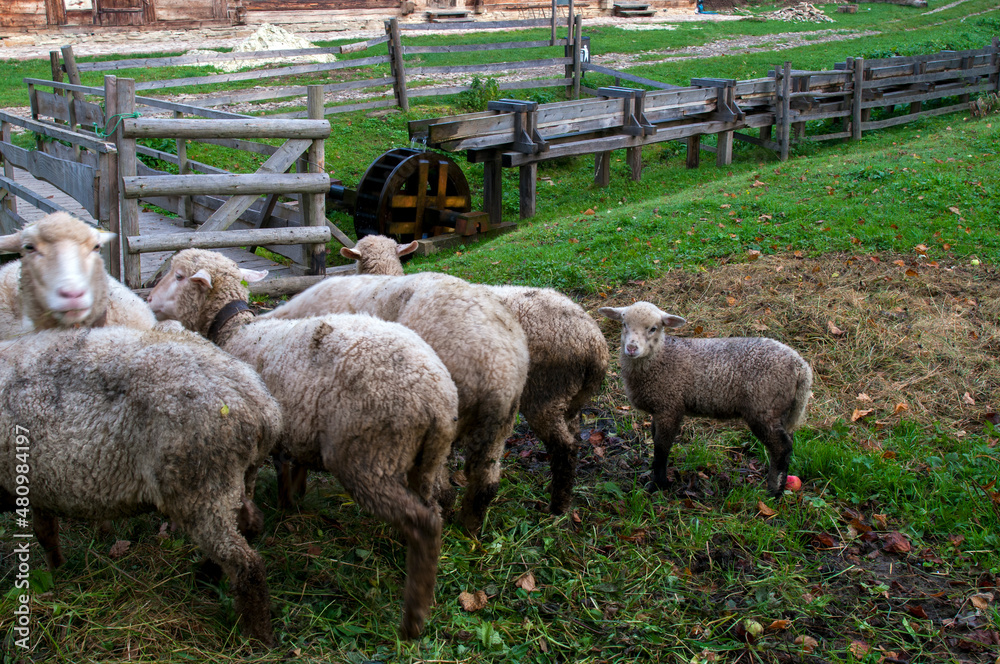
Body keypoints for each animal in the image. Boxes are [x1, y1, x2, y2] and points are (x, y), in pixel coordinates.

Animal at [146, 249, 458, 640]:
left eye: (178, 276)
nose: (148, 299)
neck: (237, 332)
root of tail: (437, 395)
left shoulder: (255, 451)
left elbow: (254, 492)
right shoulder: (292, 435)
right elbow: (291, 472)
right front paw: (290, 504)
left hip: (368, 456)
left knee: (424, 522)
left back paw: (413, 619)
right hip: (426, 460)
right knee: (436, 505)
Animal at [264, 268, 532, 536]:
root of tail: (498, 367)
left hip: (441, 418)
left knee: (437, 482)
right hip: (497, 425)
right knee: (485, 481)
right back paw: (469, 528)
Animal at [338, 236, 608, 516]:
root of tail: (594, 344)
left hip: (545, 393)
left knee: (563, 447)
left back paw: (556, 507)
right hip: (569, 398)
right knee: (574, 436)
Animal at [596, 302, 808, 498]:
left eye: (653, 328)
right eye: (624, 324)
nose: (631, 348)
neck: (661, 356)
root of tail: (801, 366)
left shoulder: (670, 406)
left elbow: (662, 448)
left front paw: (659, 485)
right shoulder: (660, 408)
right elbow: (656, 440)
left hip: (763, 408)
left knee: (782, 448)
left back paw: (773, 491)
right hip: (779, 409)